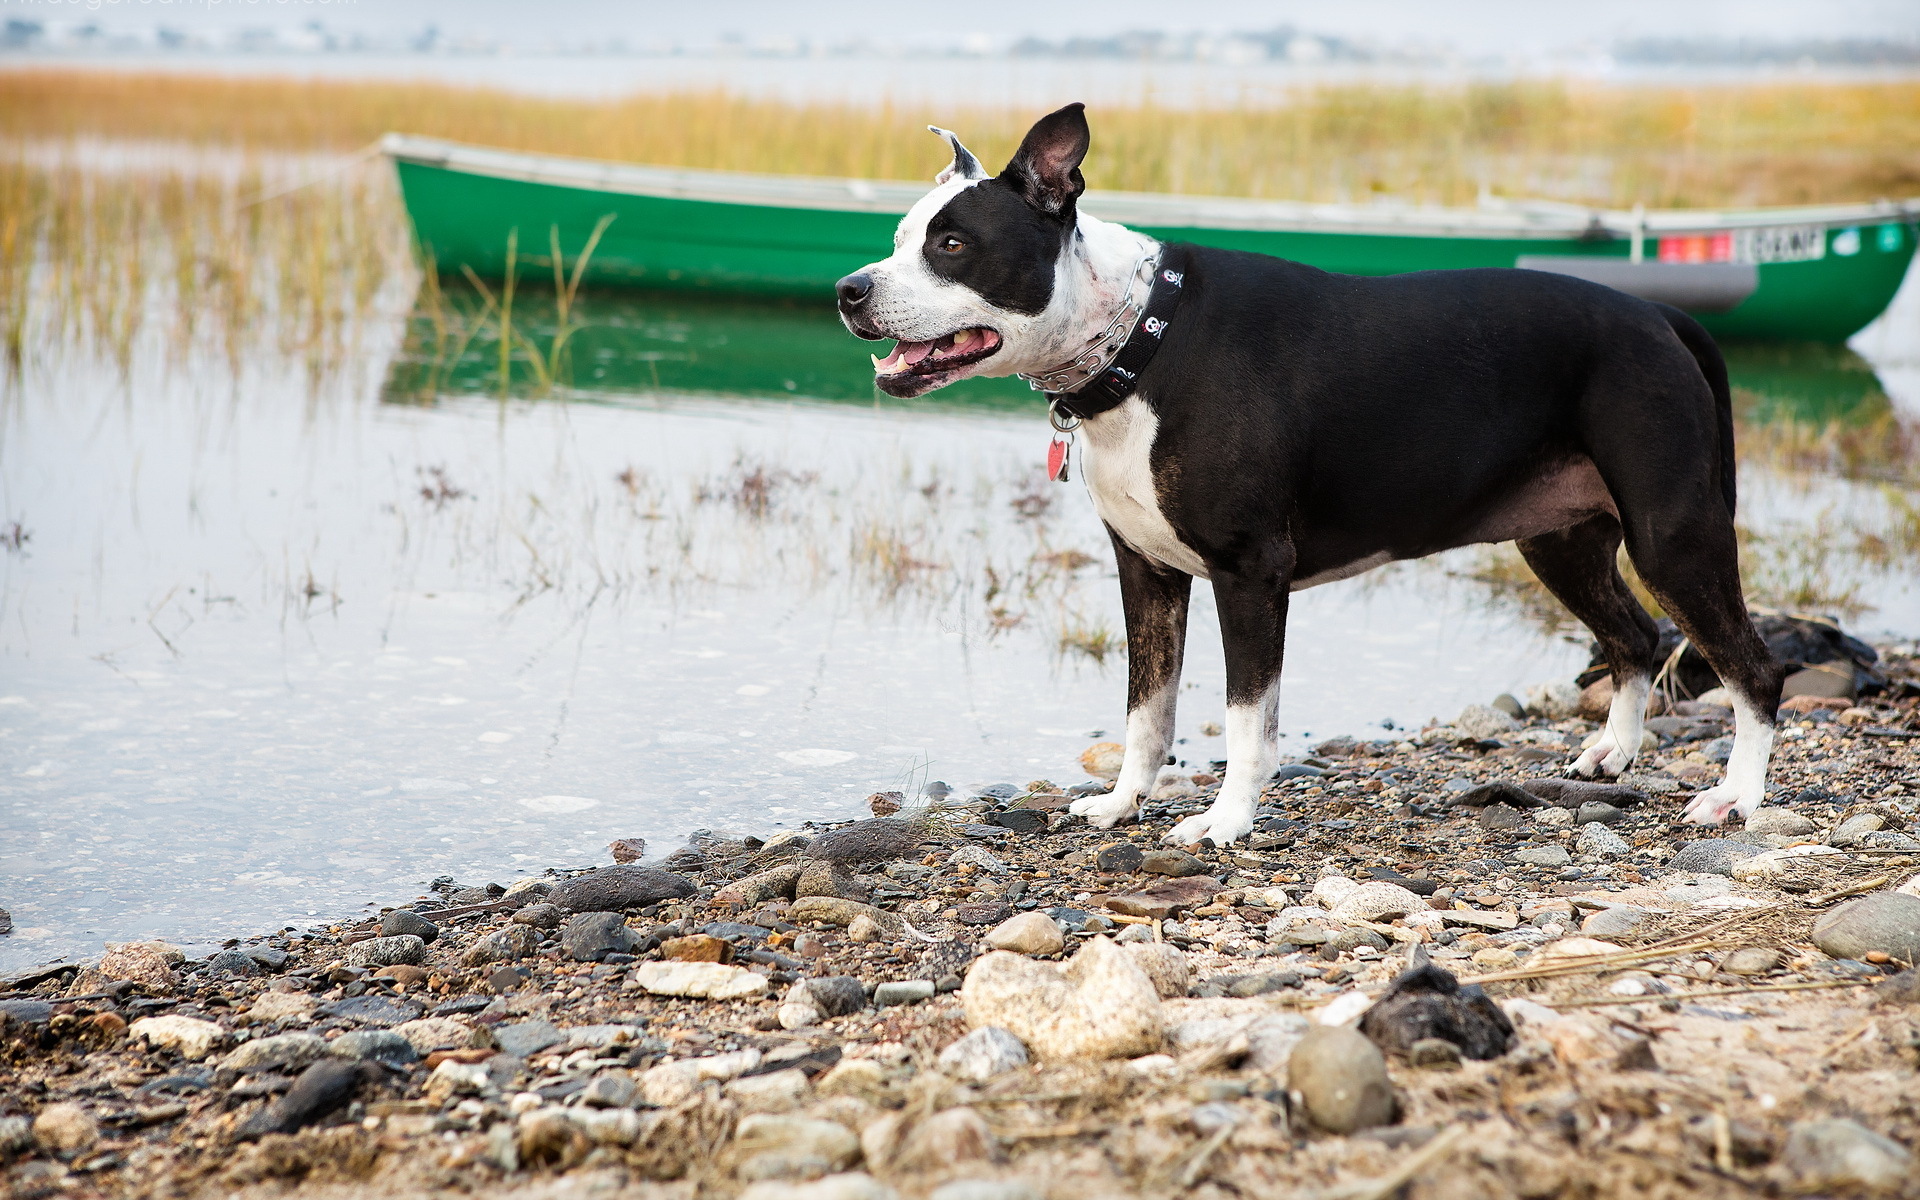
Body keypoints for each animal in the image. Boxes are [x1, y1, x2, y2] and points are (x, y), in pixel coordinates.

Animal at [837, 105, 1781, 852]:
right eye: (896, 243)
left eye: (952, 245)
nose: (850, 289)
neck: (1140, 338)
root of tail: (1657, 313)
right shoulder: (1147, 573)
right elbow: (1147, 709)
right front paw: (1122, 804)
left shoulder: (1250, 572)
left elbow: (1248, 720)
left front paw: (1225, 822)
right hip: (1559, 541)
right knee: (1635, 635)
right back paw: (1612, 754)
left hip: (1673, 537)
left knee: (1752, 671)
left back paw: (1736, 797)